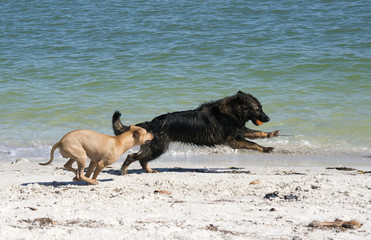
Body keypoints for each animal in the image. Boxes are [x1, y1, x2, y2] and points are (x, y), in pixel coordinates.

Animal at [112, 90, 280, 174]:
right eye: (258, 109)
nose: (268, 118)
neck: (231, 111)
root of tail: (152, 123)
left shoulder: (239, 131)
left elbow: (257, 134)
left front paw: (270, 134)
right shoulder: (234, 140)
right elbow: (253, 143)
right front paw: (264, 148)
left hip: (154, 148)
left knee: (142, 159)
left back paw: (148, 170)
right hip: (158, 148)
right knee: (133, 156)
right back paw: (124, 170)